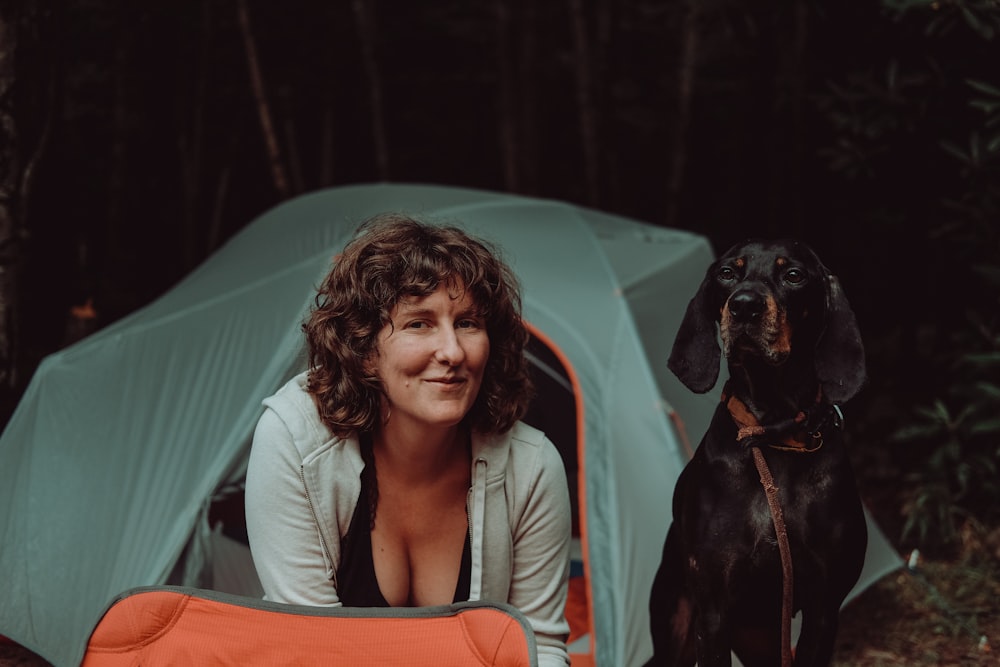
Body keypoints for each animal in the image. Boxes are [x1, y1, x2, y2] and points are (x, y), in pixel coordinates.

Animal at [648, 240, 868, 667]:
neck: (773, 431)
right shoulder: (713, 614)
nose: (744, 305)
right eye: (727, 273)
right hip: (678, 631)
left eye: (794, 275)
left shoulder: (824, 609)